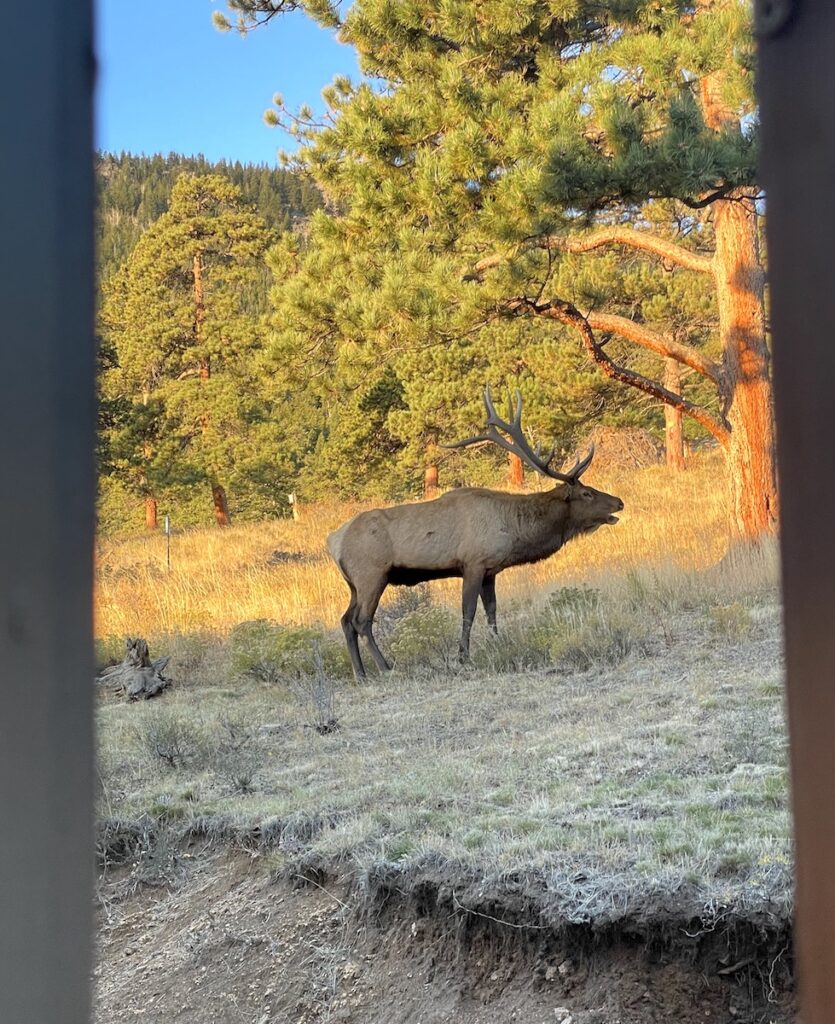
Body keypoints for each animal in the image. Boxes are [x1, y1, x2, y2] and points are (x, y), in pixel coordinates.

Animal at [327, 388, 624, 678]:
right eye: (587, 493)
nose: (619, 502)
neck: (512, 530)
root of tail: (333, 541)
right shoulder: (472, 563)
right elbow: (468, 612)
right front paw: (463, 657)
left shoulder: (491, 570)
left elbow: (491, 610)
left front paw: (497, 643)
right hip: (371, 574)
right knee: (361, 621)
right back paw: (385, 667)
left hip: (354, 584)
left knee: (345, 620)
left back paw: (361, 673)